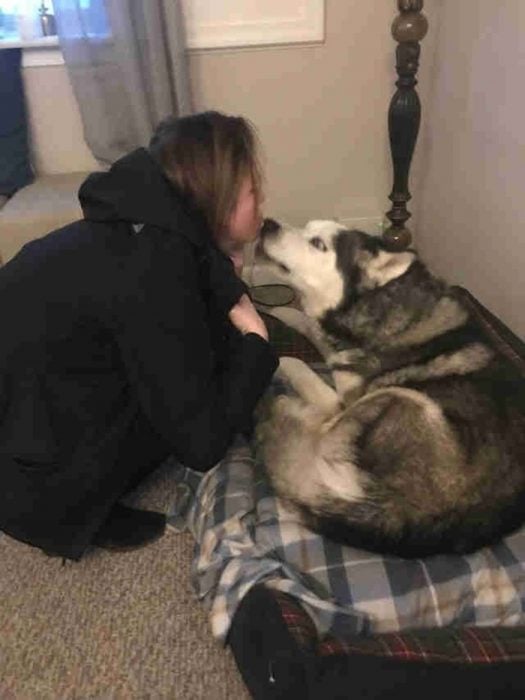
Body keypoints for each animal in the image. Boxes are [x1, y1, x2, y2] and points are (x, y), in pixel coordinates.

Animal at [255, 219, 524, 556]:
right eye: (306, 226)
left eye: (318, 244)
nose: (267, 223)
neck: (374, 304)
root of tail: (405, 516)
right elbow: (310, 325)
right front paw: (282, 312)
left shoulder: (343, 397)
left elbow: (296, 361)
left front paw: (277, 354)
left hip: (400, 397)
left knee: (320, 431)